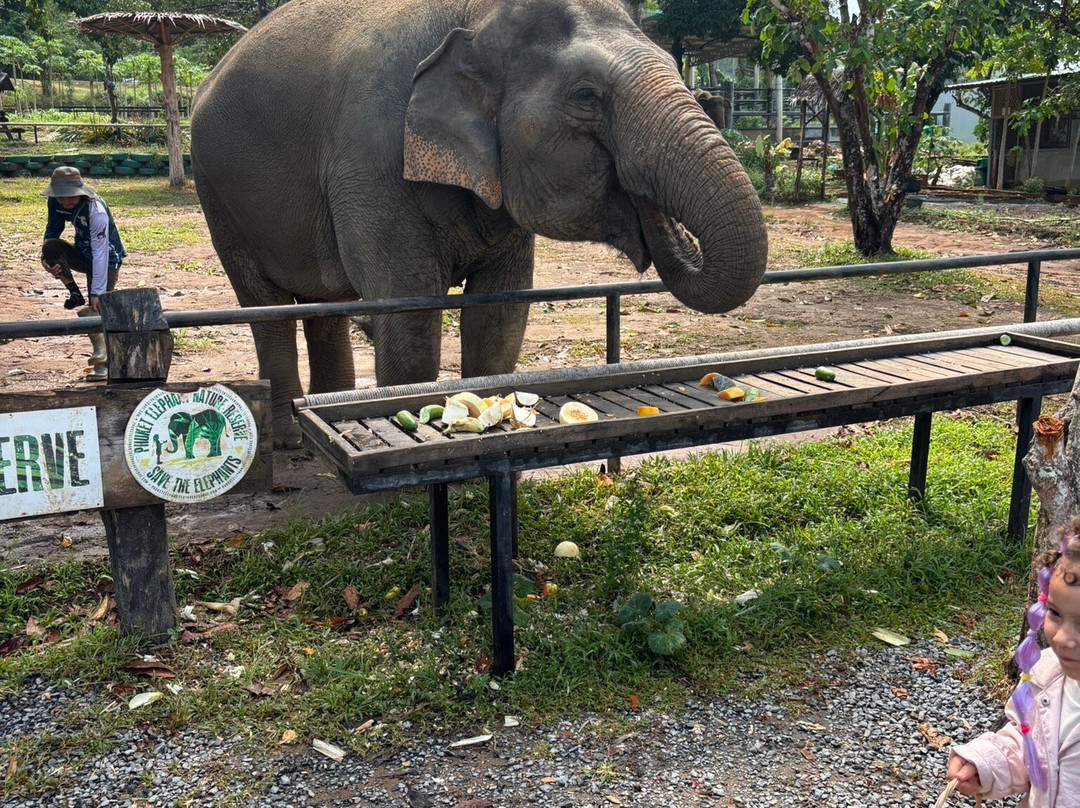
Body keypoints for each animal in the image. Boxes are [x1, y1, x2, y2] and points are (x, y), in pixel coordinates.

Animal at [191, 0, 768, 447]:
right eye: (586, 95)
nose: (647, 203)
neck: (473, 15)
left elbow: (500, 317)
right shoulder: (370, 161)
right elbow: (410, 316)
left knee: (324, 307)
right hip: (219, 199)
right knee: (267, 309)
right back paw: (291, 435)